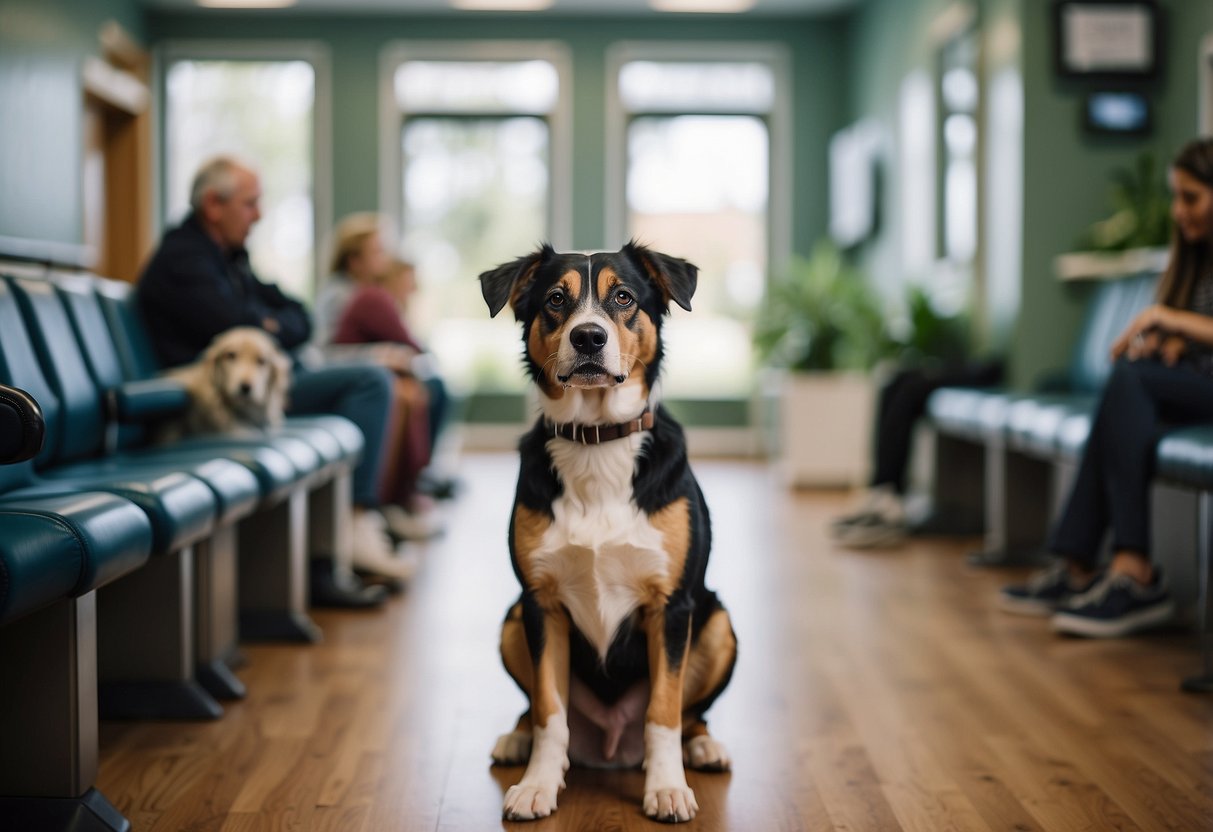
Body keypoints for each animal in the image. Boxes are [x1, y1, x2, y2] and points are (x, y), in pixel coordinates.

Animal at [477, 242, 732, 829]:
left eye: (623, 298)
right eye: (555, 299)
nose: (588, 337)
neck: (596, 442)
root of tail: (612, 745)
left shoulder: (672, 606)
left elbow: (664, 711)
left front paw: (667, 789)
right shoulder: (540, 603)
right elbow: (549, 710)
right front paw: (538, 785)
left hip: (718, 623)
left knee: (691, 714)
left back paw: (703, 746)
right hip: (511, 619)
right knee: (532, 709)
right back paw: (515, 740)